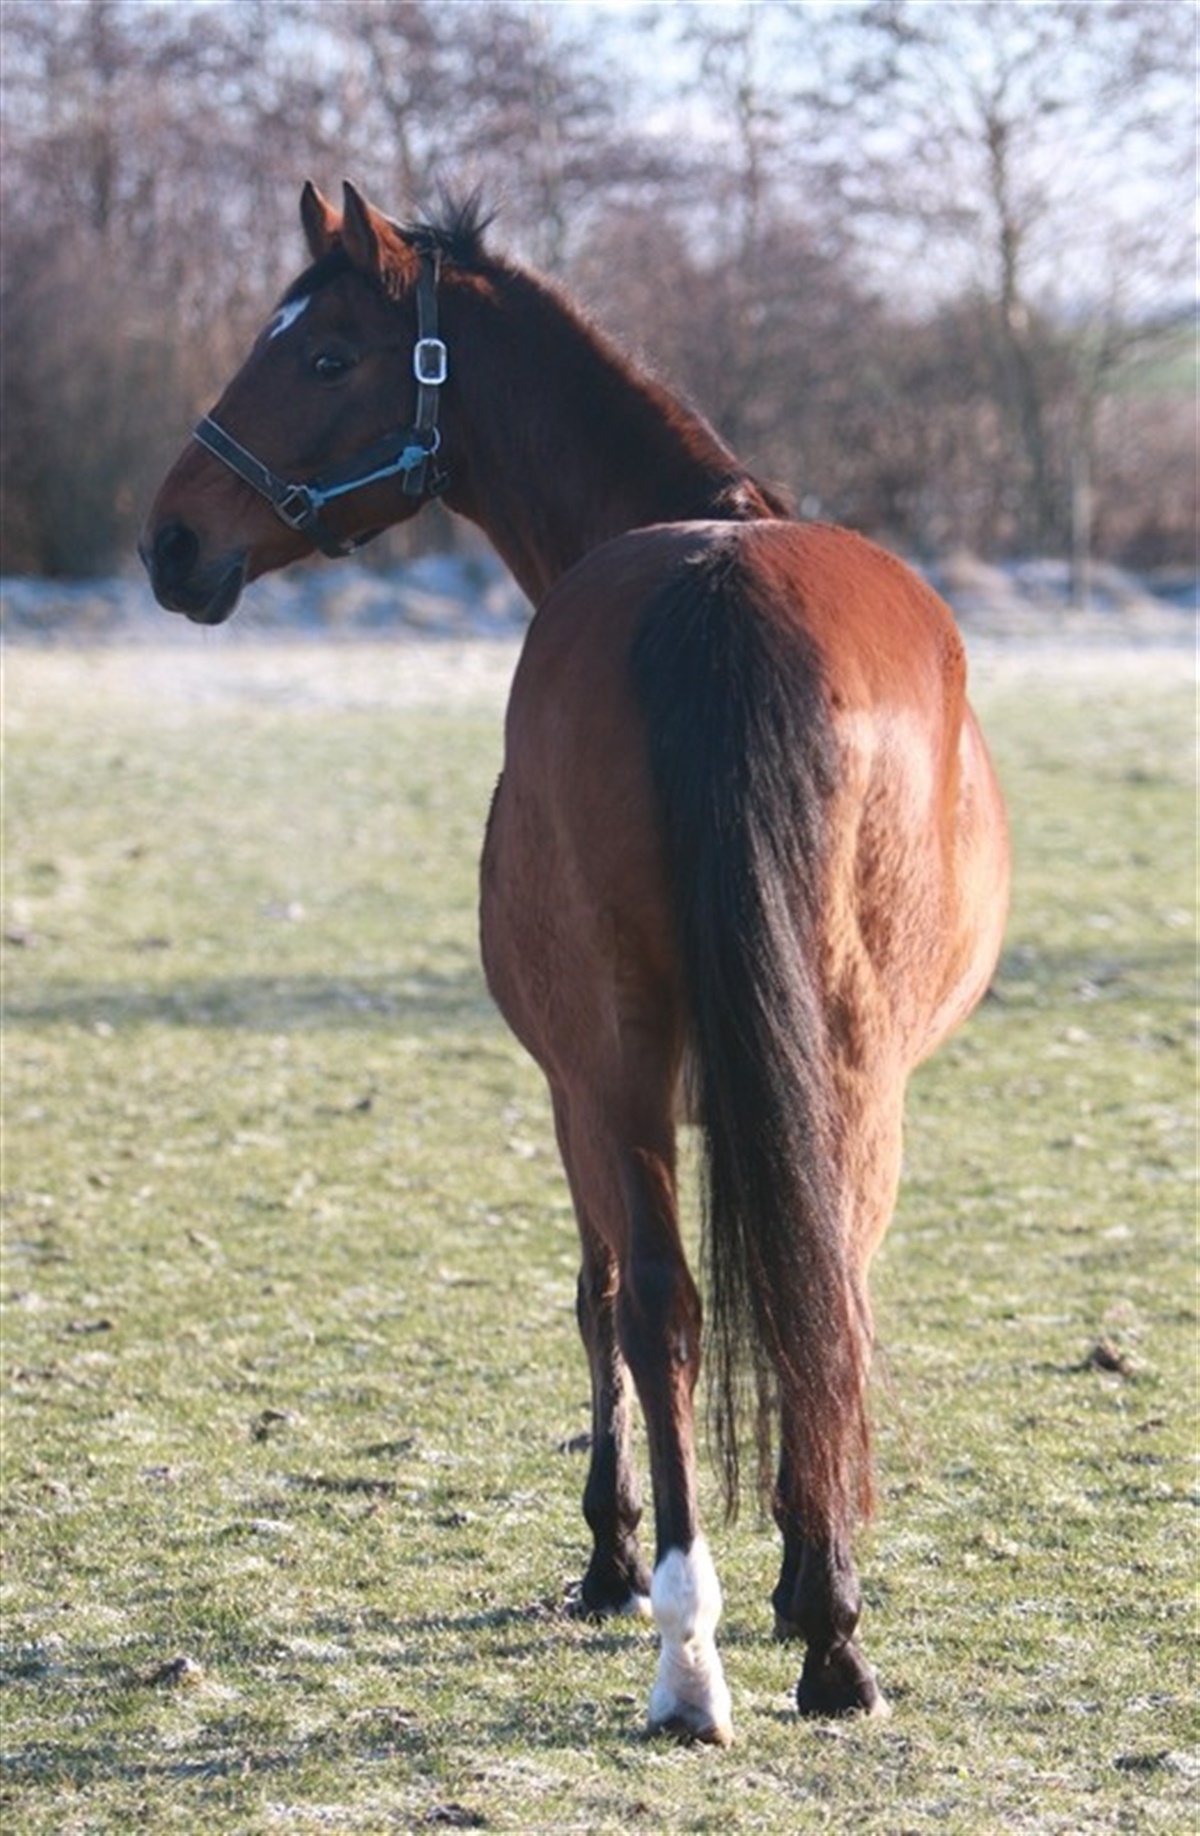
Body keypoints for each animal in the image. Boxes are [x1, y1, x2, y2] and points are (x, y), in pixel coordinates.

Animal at [141, 182, 1010, 1746]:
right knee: (796, 1290)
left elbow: (599, 1293)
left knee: (675, 1301)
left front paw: (617, 1554)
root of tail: (719, 591)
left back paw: (702, 1642)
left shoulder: (569, 1084)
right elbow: (761, 1287)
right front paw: (791, 1573)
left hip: (626, 1066)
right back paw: (797, 1645)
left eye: (323, 355)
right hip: (826, 1067)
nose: (171, 541)